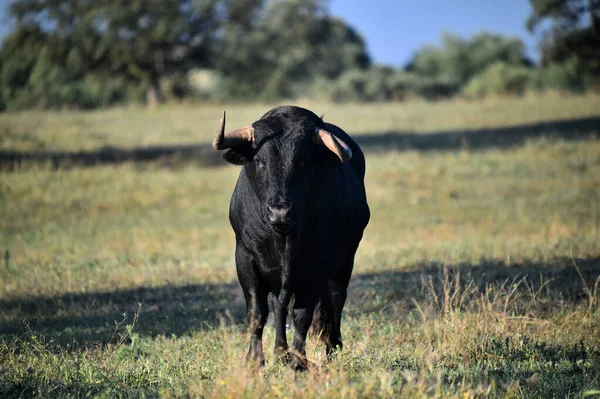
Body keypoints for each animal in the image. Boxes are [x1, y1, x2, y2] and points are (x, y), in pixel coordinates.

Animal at [211, 104, 370, 370]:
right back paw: (280, 352)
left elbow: (302, 316)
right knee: (279, 305)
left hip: (345, 261)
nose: (280, 211)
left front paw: (298, 361)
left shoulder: (315, 268)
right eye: (259, 161)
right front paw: (255, 360)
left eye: (304, 162)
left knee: (335, 299)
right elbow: (257, 312)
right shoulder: (245, 258)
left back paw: (331, 348)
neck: (283, 238)